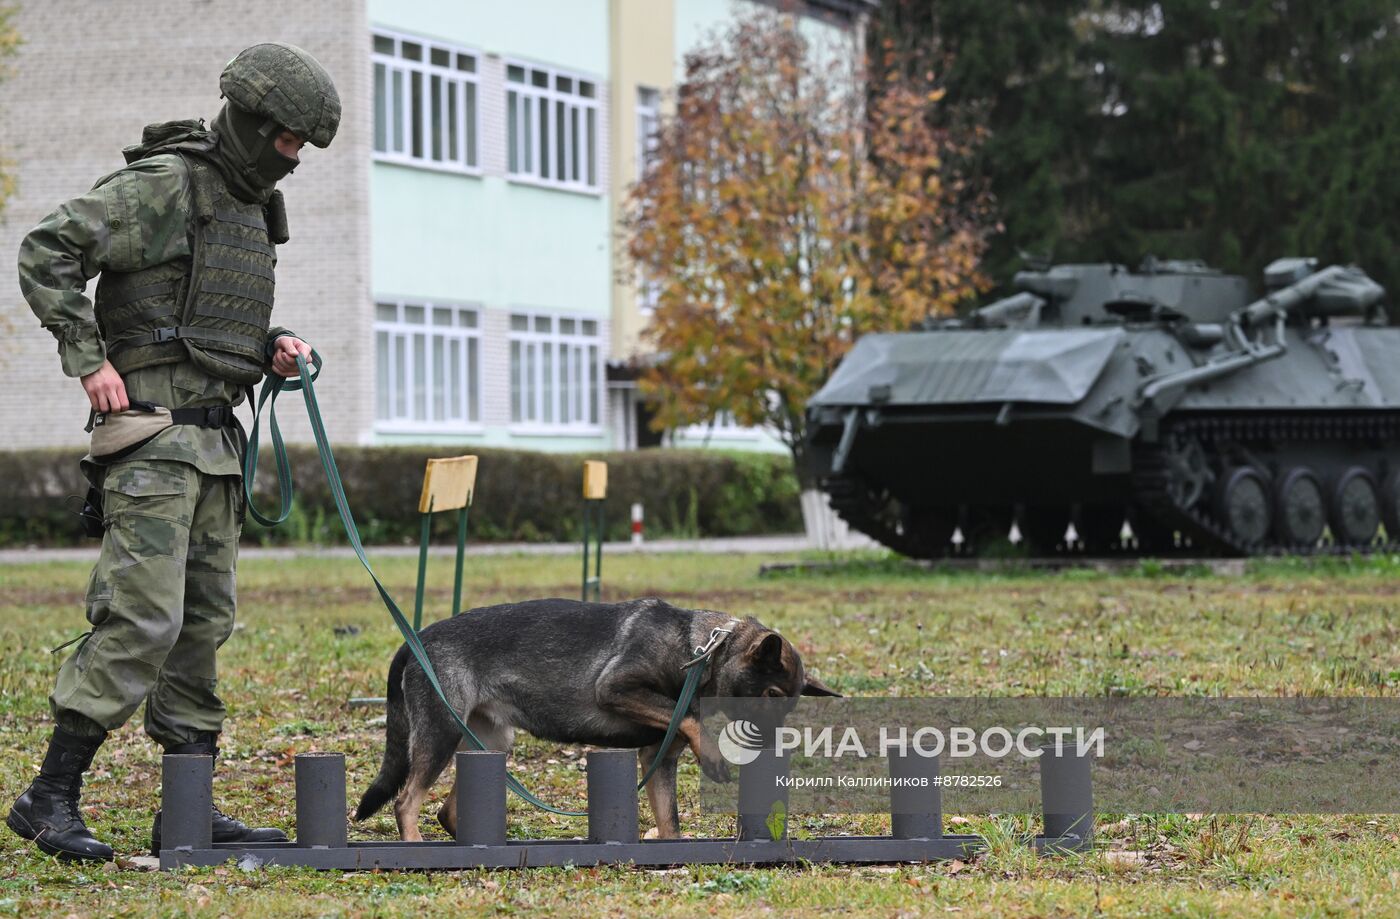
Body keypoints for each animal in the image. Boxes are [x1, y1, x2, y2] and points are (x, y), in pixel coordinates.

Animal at [355, 596, 834, 840]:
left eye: (789, 706)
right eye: (769, 696)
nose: (771, 747)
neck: (699, 650)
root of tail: (416, 640)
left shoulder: (657, 760)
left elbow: (670, 822)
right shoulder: (615, 688)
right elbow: (690, 714)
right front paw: (713, 757)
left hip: (491, 744)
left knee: (445, 811)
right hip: (441, 733)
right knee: (406, 801)